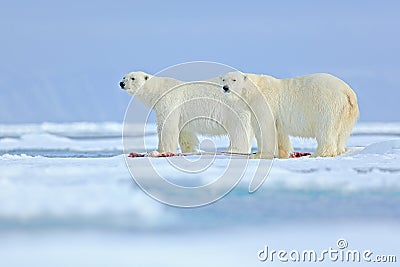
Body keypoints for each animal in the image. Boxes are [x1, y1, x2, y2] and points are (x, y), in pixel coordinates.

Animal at [119, 71, 256, 155]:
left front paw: (161, 151)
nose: (122, 83)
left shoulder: (169, 101)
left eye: (133, 78)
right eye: (124, 77)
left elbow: (167, 127)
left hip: (234, 108)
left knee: (239, 129)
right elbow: (184, 132)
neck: (159, 90)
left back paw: (234, 149)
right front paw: (189, 150)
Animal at [220, 72, 360, 158]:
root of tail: (347, 92)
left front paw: (258, 155)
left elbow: (265, 127)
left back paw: (318, 154)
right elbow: (279, 132)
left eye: (234, 79)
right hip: (347, 112)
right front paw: (283, 154)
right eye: (223, 79)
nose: (225, 87)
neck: (254, 90)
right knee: (342, 134)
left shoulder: (264, 102)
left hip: (326, 105)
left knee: (325, 129)